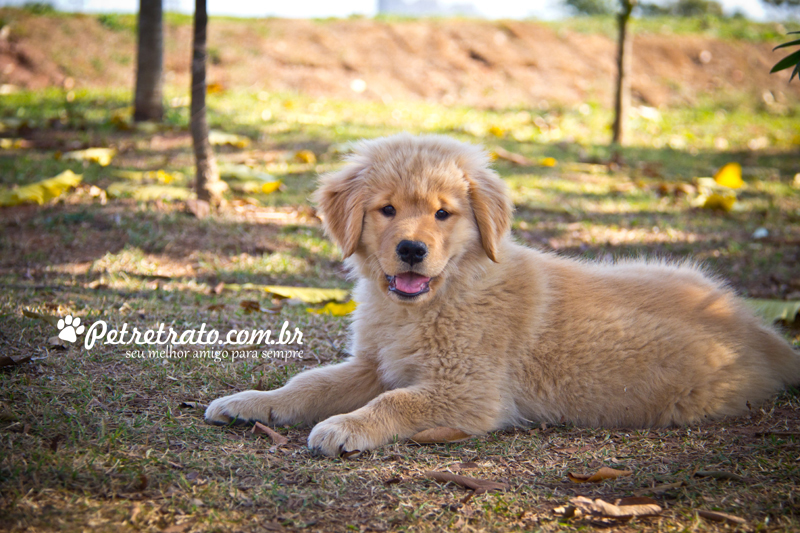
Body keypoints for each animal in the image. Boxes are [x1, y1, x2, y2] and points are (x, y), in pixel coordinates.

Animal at [206, 132, 800, 454]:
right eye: (387, 210)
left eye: (443, 214)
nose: (411, 250)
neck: (437, 300)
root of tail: (762, 332)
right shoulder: (372, 364)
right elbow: (309, 382)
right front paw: (252, 401)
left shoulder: (468, 392)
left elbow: (396, 400)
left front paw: (347, 426)